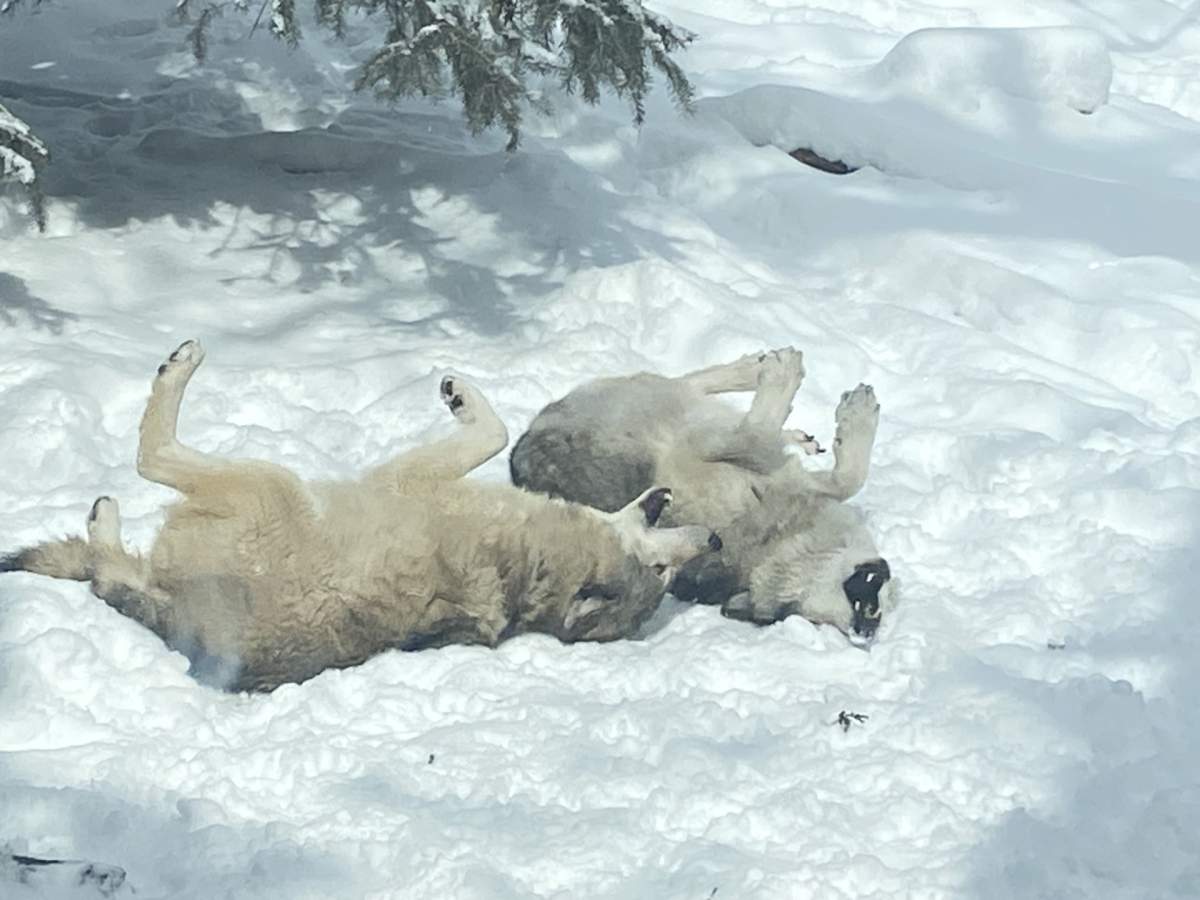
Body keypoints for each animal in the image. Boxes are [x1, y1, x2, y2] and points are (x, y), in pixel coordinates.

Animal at [0, 341, 720, 691]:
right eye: (661, 572)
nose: (713, 539)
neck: (531, 557)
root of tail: (189, 627)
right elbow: (491, 431)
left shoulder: (404, 478)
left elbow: (489, 431)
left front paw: (461, 396)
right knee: (107, 568)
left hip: (264, 482)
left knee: (150, 459)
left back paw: (176, 375)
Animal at [510, 348, 896, 646]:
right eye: (868, 609)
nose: (865, 631)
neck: (777, 540)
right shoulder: (716, 450)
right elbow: (841, 475)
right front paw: (856, 414)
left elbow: (835, 475)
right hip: (652, 404)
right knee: (699, 389)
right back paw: (768, 370)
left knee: (696, 388)